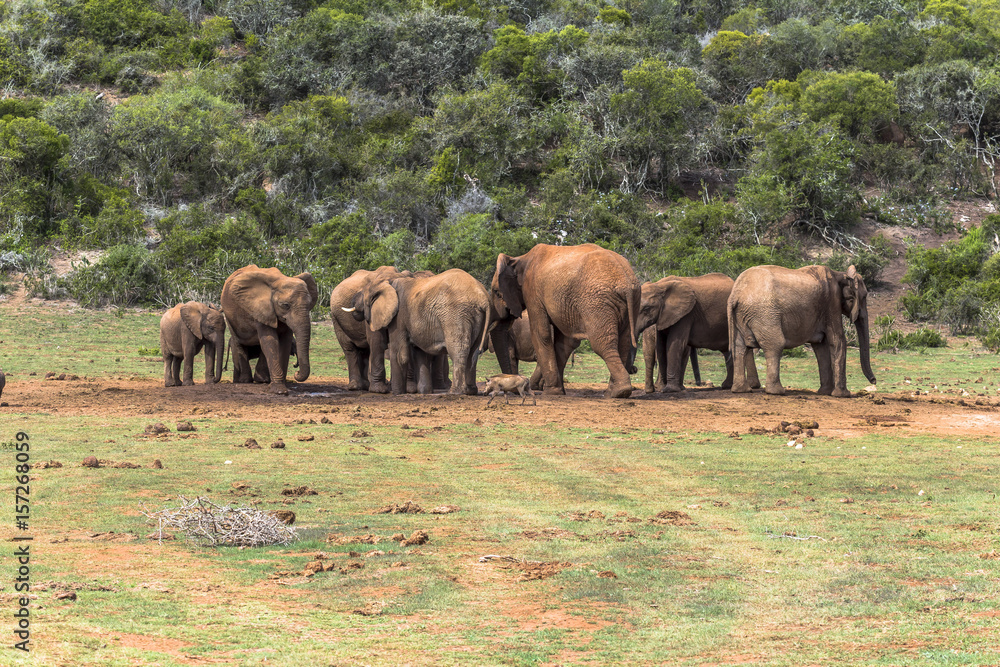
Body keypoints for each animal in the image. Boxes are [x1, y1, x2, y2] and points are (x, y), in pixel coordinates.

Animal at [221, 265, 318, 395]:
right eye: (285, 305)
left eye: (310, 303)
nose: (296, 373)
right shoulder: (260, 308)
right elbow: (270, 340)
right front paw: (280, 391)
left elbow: (284, 342)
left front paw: (281, 386)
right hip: (229, 316)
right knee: (238, 342)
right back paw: (245, 381)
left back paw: (262, 380)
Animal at [351, 268, 490, 395]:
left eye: (364, 293)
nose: (353, 300)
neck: (392, 280)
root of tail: (483, 297)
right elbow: (420, 352)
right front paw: (425, 392)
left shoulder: (399, 317)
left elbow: (400, 354)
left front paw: (397, 393)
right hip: (477, 317)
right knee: (473, 352)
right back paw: (470, 391)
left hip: (456, 314)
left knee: (458, 350)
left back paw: (455, 392)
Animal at [492, 243, 640, 398]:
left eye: (496, 292)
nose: (513, 390)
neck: (520, 258)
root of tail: (625, 282)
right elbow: (565, 341)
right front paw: (558, 392)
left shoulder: (532, 292)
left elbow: (541, 334)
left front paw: (550, 392)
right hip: (631, 300)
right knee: (623, 342)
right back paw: (615, 392)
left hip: (597, 302)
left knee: (601, 344)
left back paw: (618, 392)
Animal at [728, 264, 877, 396]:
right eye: (864, 296)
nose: (874, 381)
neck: (840, 274)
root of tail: (735, 294)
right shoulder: (831, 303)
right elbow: (837, 341)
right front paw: (843, 395)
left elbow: (820, 347)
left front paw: (825, 392)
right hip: (765, 314)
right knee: (775, 344)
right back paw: (777, 392)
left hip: (742, 315)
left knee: (739, 347)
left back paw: (741, 390)